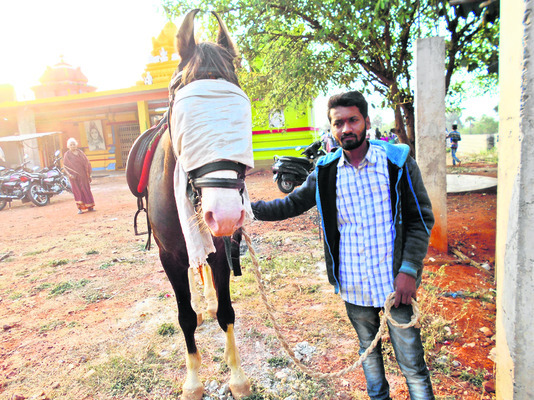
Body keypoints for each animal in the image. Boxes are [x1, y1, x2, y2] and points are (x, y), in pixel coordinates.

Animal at [146, 10, 254, 400]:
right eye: (183, 108)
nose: (225, 213)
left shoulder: (221, 247)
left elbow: (227, 312)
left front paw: (237, 376)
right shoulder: (169, 257)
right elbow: (184, 318)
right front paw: (193, 381)